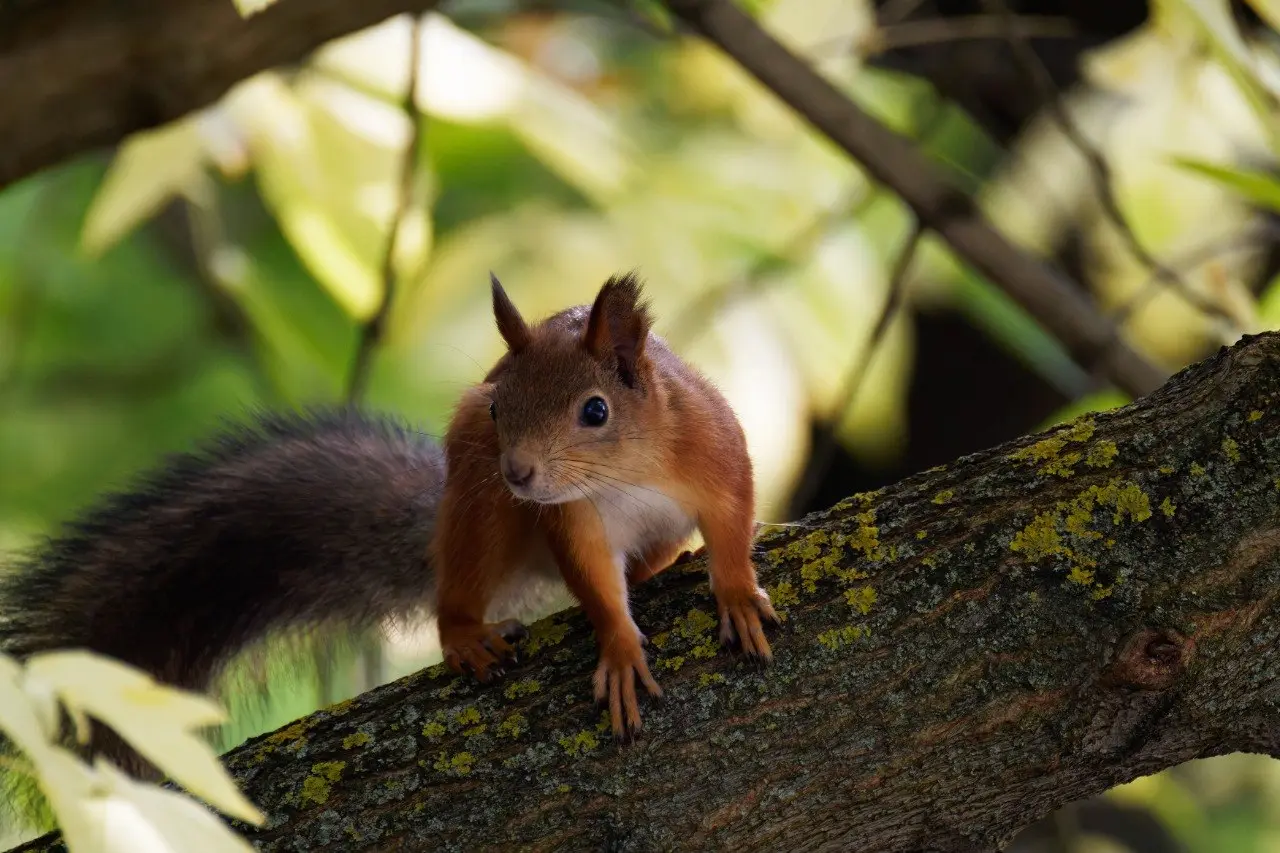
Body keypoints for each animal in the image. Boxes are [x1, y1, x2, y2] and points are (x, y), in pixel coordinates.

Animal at [0, 271, 778, 778]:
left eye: (595, 410)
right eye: (498, 407)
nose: (519, 473)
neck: (625, 475)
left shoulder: (714, 450)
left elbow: (733, 520)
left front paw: (737, 591)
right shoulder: (571, 521)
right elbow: (593, 582)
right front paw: (618, 647)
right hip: (476, 513)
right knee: (461, 584)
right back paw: (465, 634)